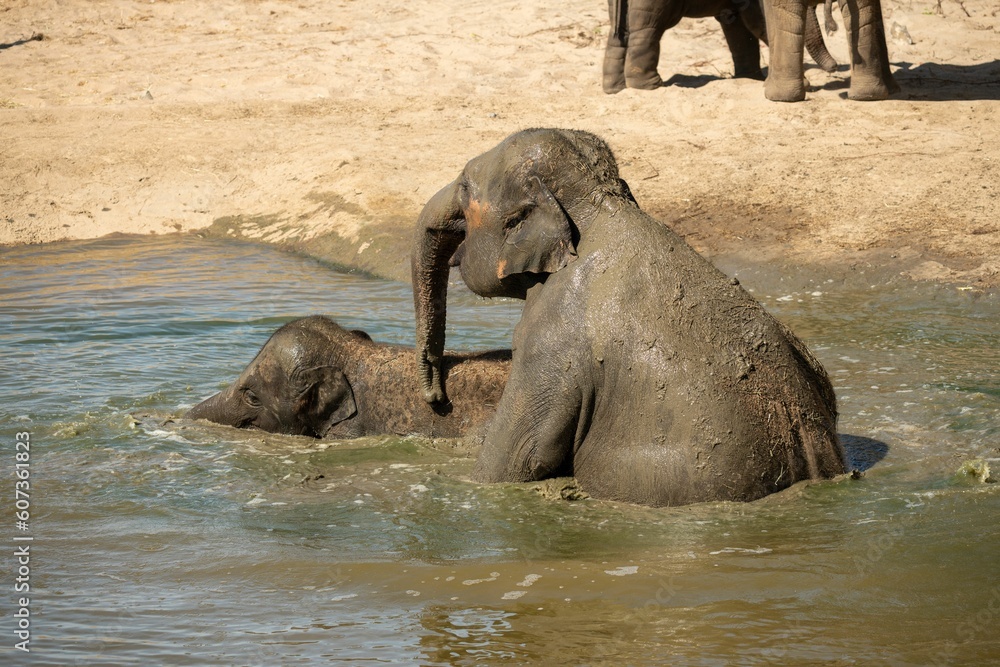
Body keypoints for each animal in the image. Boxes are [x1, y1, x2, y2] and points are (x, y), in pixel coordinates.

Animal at [603, 0, 838, 94]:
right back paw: (651, 86)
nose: (835, 67)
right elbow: (759, 23)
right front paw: (806, 85)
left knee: (620, 35)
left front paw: (751, 79)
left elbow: (737, 26)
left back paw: (616, 89)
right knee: (648, 31)